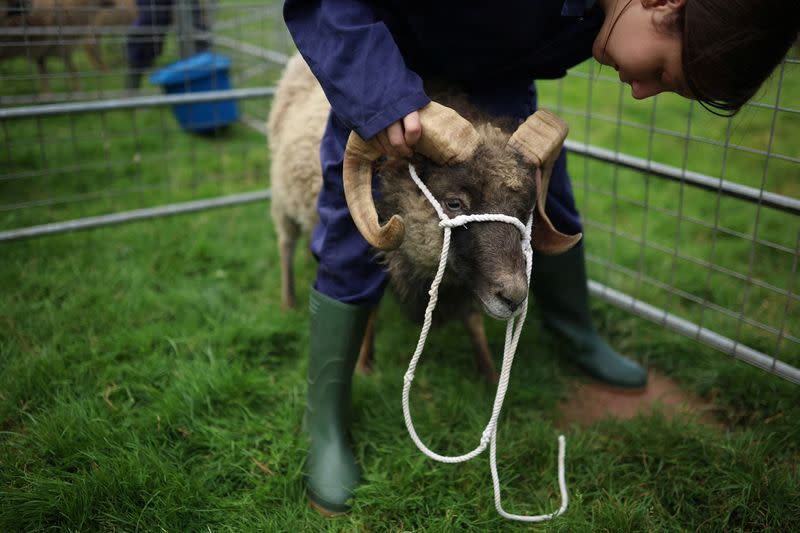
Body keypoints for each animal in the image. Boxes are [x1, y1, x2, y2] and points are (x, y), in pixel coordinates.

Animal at [266, 53, 580, 378]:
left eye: (525, 210)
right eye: (454, 203)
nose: (515, 297)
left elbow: (474, 321)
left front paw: (490, 374)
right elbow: (367, 305)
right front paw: (364, 364)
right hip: (282, 199)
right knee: (286, 245)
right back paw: (288, 302)